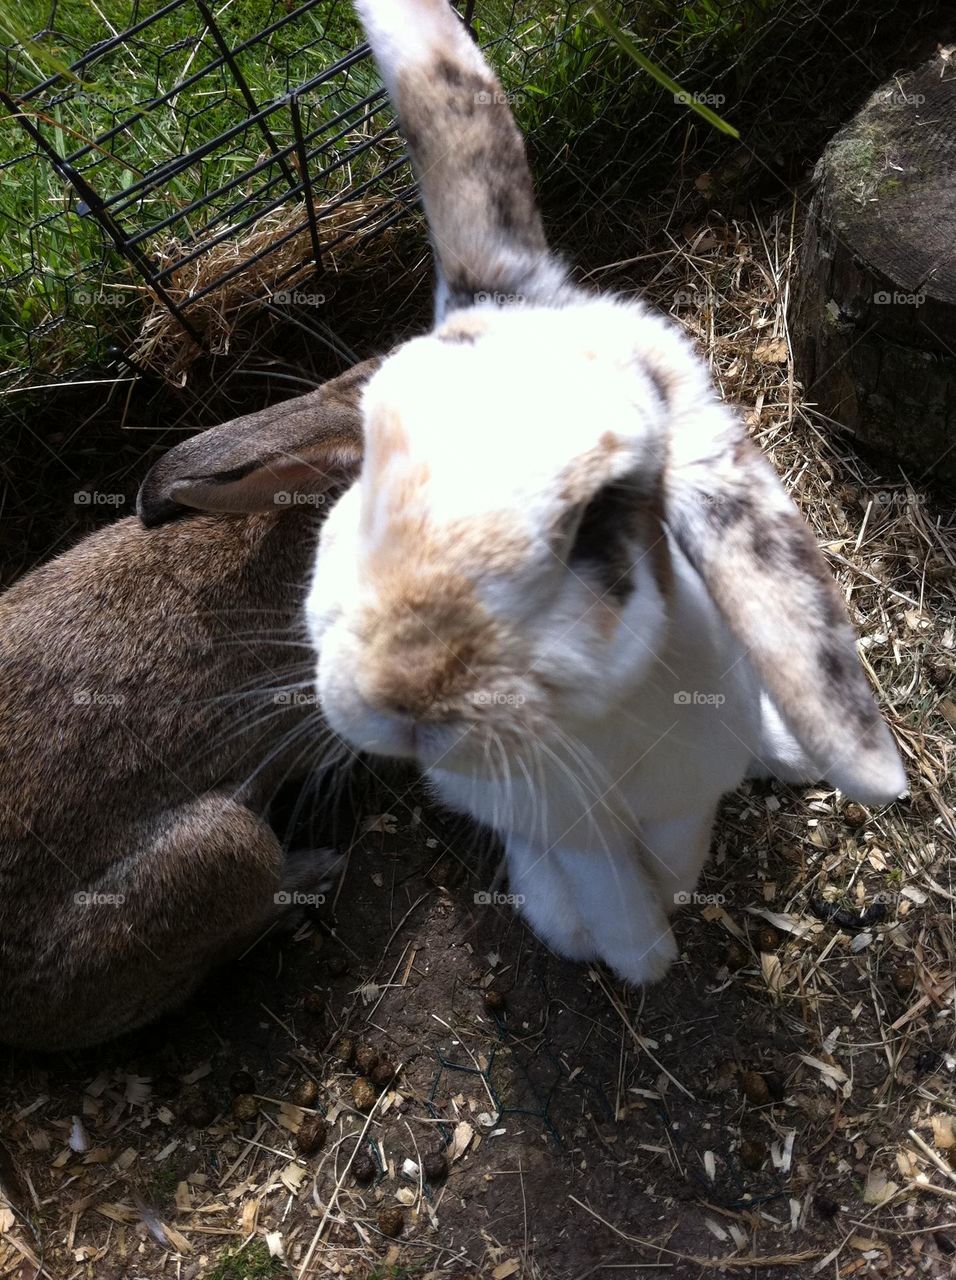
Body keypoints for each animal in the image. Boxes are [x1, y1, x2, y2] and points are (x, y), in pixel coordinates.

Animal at [307, 0, 906, 983]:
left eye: (596, 527)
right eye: (366, 454)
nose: (403, 697)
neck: (586, 736)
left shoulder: (684, 791)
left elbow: (676, 851)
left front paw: (657, 936)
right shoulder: (568, 825)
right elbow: (602, 879)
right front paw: (633, 951)